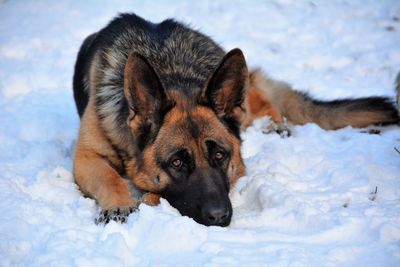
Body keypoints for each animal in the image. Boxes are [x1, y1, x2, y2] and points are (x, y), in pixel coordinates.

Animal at [72, 13, 400, 227]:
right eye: (176, 162)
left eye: (220, 155)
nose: (219, 217)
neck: (172, 72)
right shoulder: (86, 157)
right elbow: (110, 176)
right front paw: (120, 204)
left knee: (264, 99)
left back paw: (274, 126)